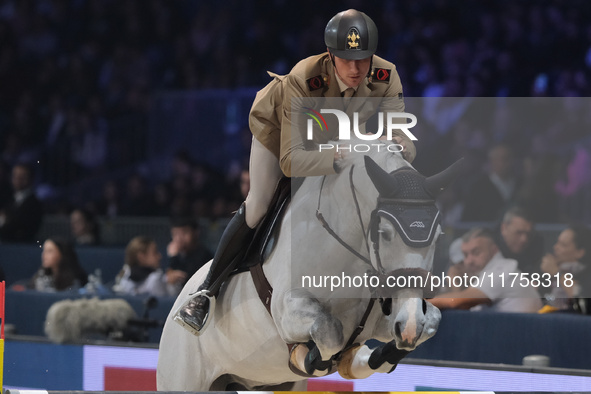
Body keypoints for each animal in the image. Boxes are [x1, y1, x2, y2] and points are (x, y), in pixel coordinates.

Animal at [158, 142, 462, 390]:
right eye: (384, 233)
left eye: (438, 236)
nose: (409, 325)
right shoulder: (287, 310)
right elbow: (330, 330)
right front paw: (313, 358)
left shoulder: (383, 318)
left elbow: (433, 319)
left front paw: (369, 357)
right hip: (184, 377)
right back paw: (195, 309)